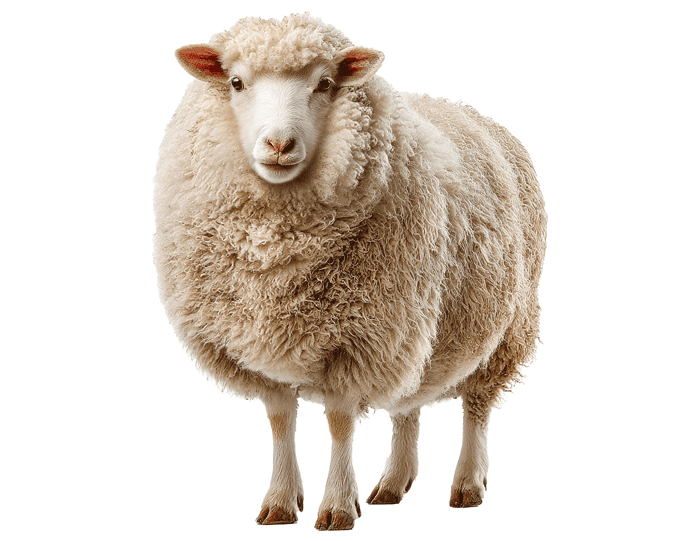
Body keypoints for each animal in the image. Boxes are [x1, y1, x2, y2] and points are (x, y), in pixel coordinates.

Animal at [153, 13, 546, 531]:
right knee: (408, 404)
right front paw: (280, 501)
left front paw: (338, 505)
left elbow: (340, 423)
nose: (278, 143)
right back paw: (393, 483)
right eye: (236, 83)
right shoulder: (261, 344)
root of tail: (472, 112)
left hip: (502, 324)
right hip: (418, 330)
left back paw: (467, 484)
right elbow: (280, 420)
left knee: (477, 406)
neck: (276, 252)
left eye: (324, 84)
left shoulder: (359, 339)